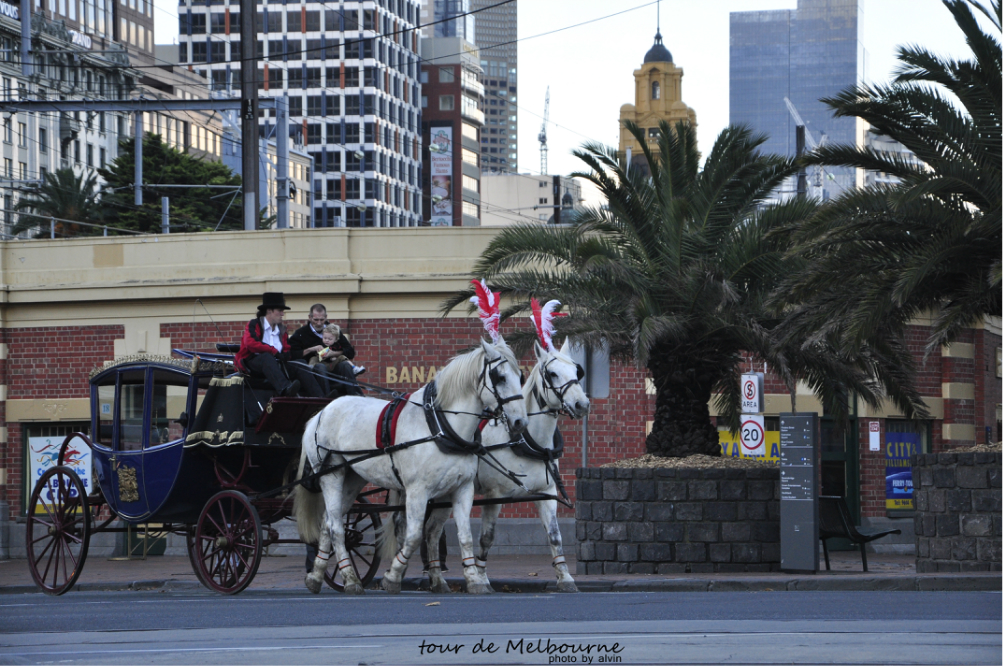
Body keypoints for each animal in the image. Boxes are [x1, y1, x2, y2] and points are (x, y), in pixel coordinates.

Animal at [292, 341, 529, 593]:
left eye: (520, 376)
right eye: (500, 377)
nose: (520, 422)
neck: (441, 427)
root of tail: (320, 413)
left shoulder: (462, 488)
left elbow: (465, 536)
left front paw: (474, 580)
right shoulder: (417, 491)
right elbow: (414, 536)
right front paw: (393, 576)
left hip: (353, 478)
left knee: (328, 522)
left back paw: (316, 575)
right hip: (331, 474)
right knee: (336, 527)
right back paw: (350, 578)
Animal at [421, 341, 589, 593]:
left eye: (576, 372)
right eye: (552, 373)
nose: (582, 404)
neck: (523, 440)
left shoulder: (547, 493)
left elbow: (555, 536)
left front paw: (565, 577)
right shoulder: (495, 495)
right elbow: (487, 537)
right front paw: (481, 578)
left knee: (432, 530)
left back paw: (436, 579)